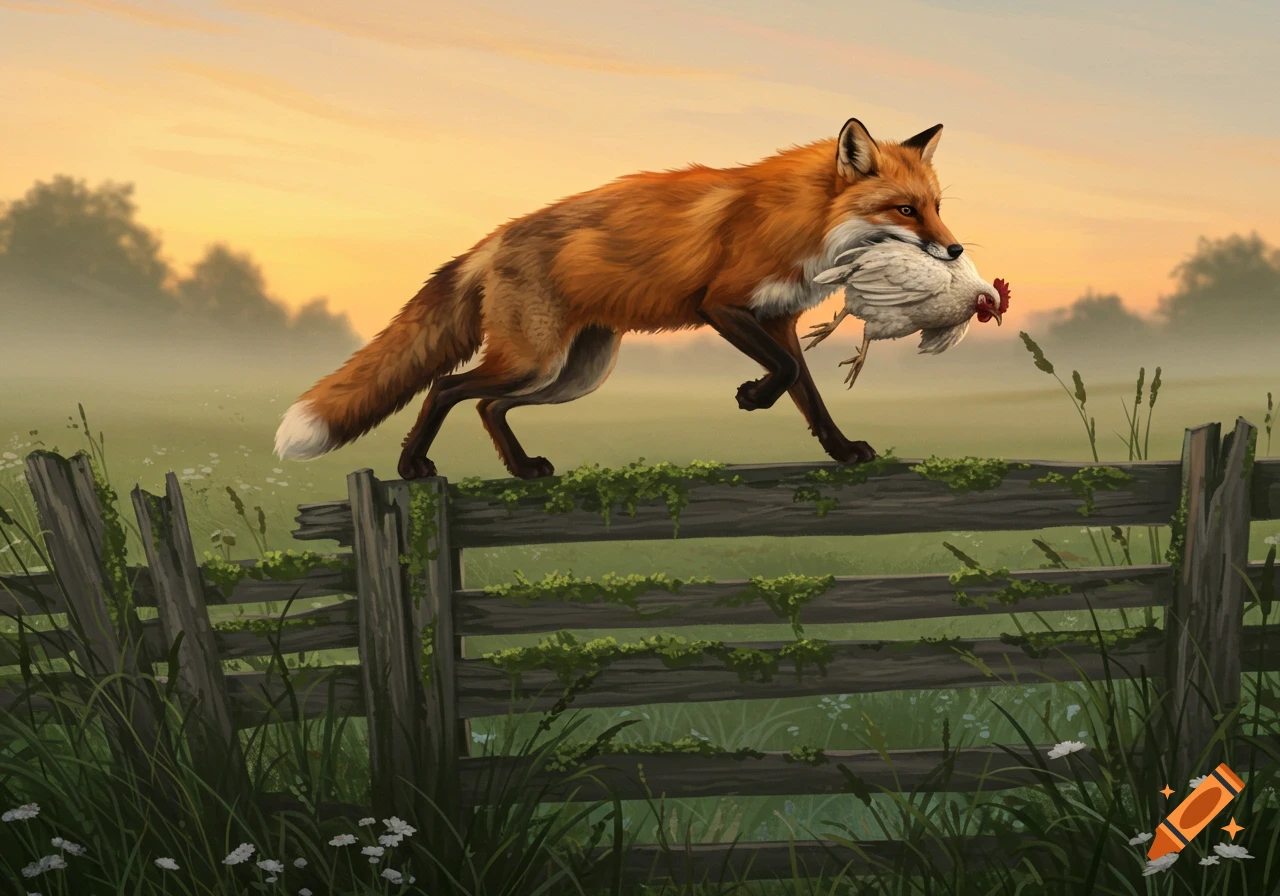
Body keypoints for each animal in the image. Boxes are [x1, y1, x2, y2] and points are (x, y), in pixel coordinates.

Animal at [273, 117, 965, 481]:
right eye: (905, 210)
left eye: (936, 207)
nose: (956, 251)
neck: (803, 219)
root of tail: (496, 237)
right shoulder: (722, 305)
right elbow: (787, 372)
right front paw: (751, 397)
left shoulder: (778, 320)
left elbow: (808, 393)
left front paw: (842, 451)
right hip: (536, 361)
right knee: (447, 388)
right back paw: (414, 466)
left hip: (573, 374)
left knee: (489, 406)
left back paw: (522, 469)